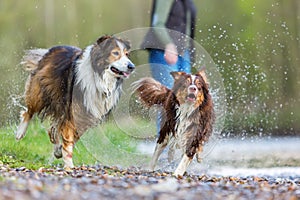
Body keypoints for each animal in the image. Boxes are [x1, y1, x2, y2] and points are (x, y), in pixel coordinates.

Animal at [15, 35, 135, 169]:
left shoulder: (87, 115)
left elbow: (72, 137)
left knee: (52, 129)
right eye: (115, 53)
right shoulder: (71, 112)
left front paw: (60, 151)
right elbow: (68, 139)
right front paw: (69, 165)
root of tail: (51, 50)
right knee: (29, 111)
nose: (131, 66)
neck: (99, 77)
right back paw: (20, 133)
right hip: (40, 93)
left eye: (127, 54)